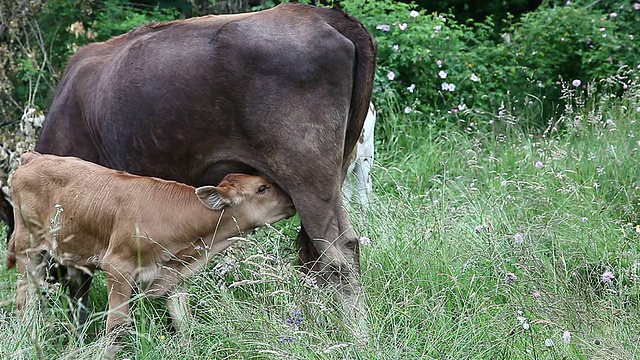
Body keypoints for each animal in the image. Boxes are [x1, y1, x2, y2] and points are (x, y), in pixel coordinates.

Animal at [6, 150, 296, 334]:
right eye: (262, 189)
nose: (292, 199)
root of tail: (34, 157)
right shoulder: (118, 268)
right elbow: (117, 326)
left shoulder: (172, 276)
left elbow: (184, 323)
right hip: (28, 248)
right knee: (24, 299)